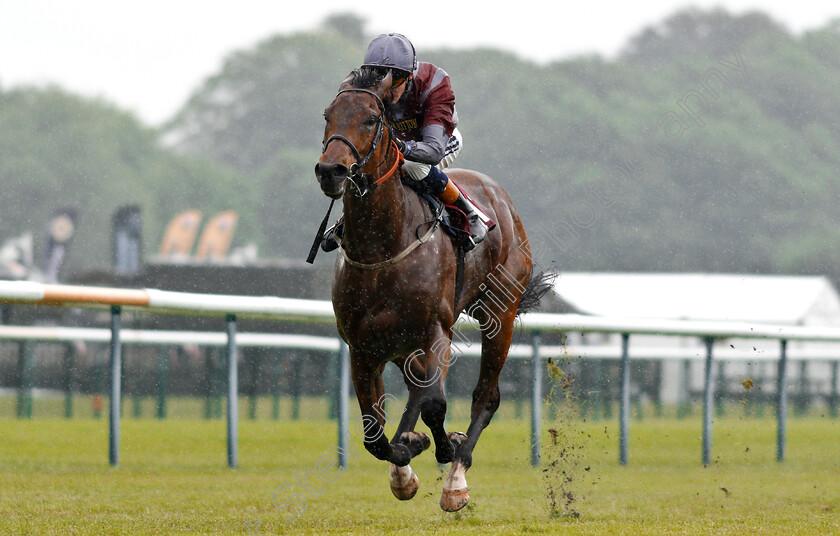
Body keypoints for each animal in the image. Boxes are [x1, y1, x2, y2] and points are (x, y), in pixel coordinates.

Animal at [316, 69, 544, 512]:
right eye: (327, 115)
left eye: (371, 119)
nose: (331, 170)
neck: (384, 246)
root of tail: (502, 199)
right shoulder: (362, 347)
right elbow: (374, 431)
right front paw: (406, 458)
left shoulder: (435, 329)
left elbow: (436, 404)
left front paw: (443, 448)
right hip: (403, 343)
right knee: (415, 391)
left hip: (499, 314)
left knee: (485, 396)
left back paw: (457, 476)